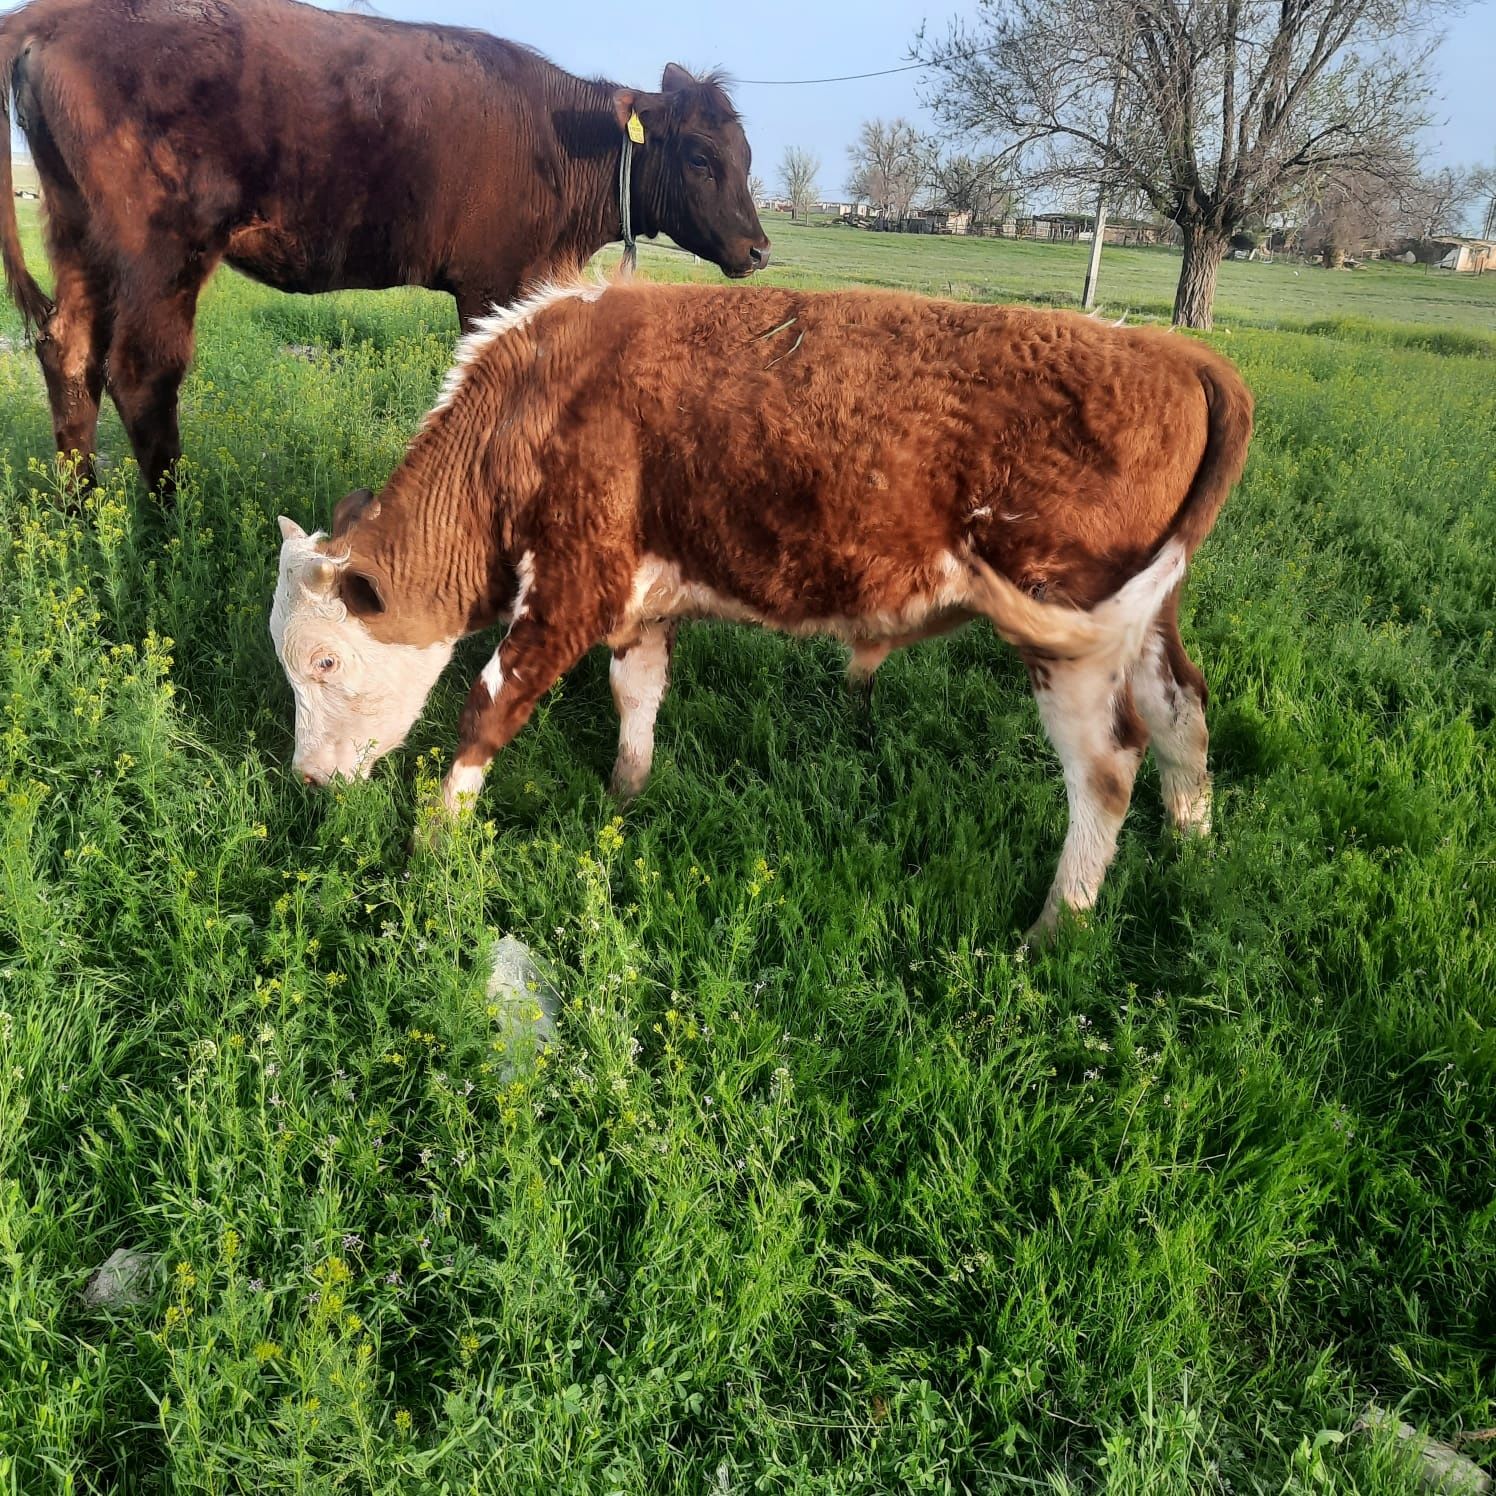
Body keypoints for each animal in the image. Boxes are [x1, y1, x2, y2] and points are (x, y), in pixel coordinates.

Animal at [0, 0, 765, 490]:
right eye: (701, 156)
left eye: (745, 152)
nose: (758, 250)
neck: (560, 134)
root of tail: (54, 14)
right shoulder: (491, 284)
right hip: (162, 252)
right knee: (142, 374)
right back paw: (170, 523)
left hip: (80, 238)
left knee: (70, 353)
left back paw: (80, 508)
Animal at [266, 281, 1250, 933]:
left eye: (325, 660)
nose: (307, 781)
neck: (537, 402)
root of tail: (1181, 354)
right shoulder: (638, 602)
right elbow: (637, 697)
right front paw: (625, 795)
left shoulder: (571, 586)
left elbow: (487, 707)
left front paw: (435, 840)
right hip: (1140, 622)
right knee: (1183, 713)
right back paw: (1195, 850)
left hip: (1067, 634)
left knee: (1108, 766)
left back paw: (1056, 928)